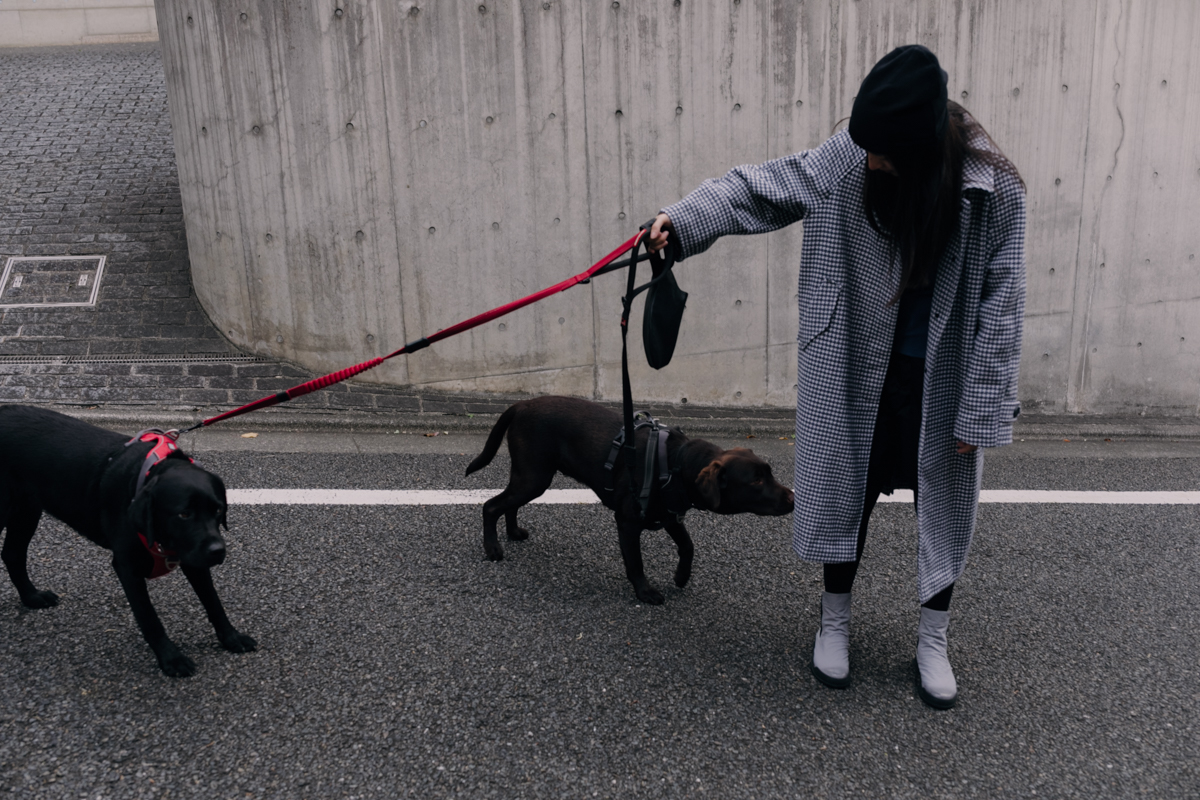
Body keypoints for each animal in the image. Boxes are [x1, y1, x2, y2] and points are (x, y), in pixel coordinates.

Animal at [0, 405, 255, 677]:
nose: (218, 551)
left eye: (218, 510)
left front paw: (231, 637)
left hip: (26, 510)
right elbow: (149, 617)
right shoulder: (127, 566)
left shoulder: (193, 557)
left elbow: (213, 602)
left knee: (13, 555)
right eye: (184, 514)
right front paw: (171, 658)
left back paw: (32, 597)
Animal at [465, 396, 794, 604]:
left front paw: (681, 577)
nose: (793, 498)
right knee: (491, 506)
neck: (677, 463)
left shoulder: (670, 514)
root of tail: (521, 404)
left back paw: (513, 533)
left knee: (509, 504)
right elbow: (635, 562)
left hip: (530, 476)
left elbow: (688, 546)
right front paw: (645, 592)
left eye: (770, 473)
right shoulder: (627, 522)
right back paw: (493, 548)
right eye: (756, 481)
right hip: (534, 477)